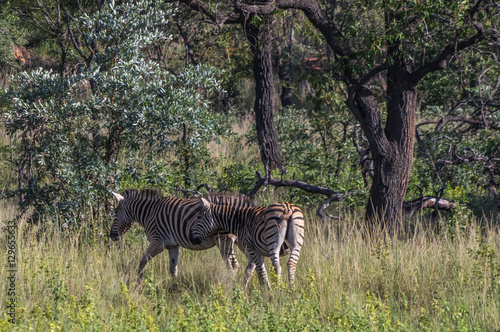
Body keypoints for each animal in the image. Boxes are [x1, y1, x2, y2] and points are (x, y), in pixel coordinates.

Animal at [109, 189, 244, 282]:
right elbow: (173, 269)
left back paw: (229, 287)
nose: (111, 236)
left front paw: (139, 282)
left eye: (115, 212)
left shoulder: (157, 243)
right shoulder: (172, 245)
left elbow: (142, 261)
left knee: (232, 265)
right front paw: (175, 287)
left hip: (223, 238)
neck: (149, 213)